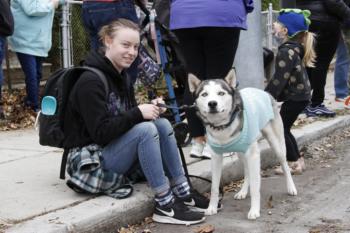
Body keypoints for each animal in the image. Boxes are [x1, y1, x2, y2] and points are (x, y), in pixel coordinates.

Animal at [189, 70, 298, 219]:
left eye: (221, 93)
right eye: (204, 94)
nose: (212, 104)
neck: (222, 127)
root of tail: (265, 92)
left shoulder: (253, 154)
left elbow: (255, 187)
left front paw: (254, 210)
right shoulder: (216, 158)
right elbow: (214, 187)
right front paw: (212, 207)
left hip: (276, 144)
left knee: (284, 165)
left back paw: (291, 187)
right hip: (241, 152)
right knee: (247, 171)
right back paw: (243, 191)